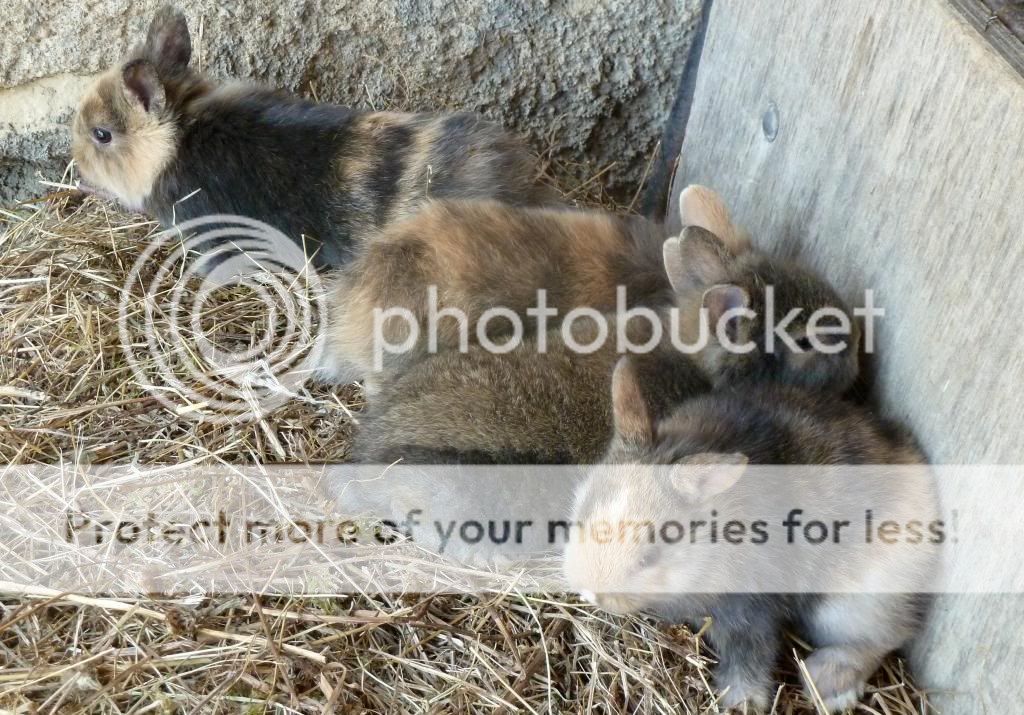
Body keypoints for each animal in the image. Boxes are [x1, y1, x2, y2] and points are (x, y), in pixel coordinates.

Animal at [565, 358, 937, 708]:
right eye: (583, 513)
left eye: (649, 558)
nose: (590, 592)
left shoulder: (750, 615)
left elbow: (750, 659)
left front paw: (742, 702)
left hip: (854, 604)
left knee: (881, 638)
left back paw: (826, 684)